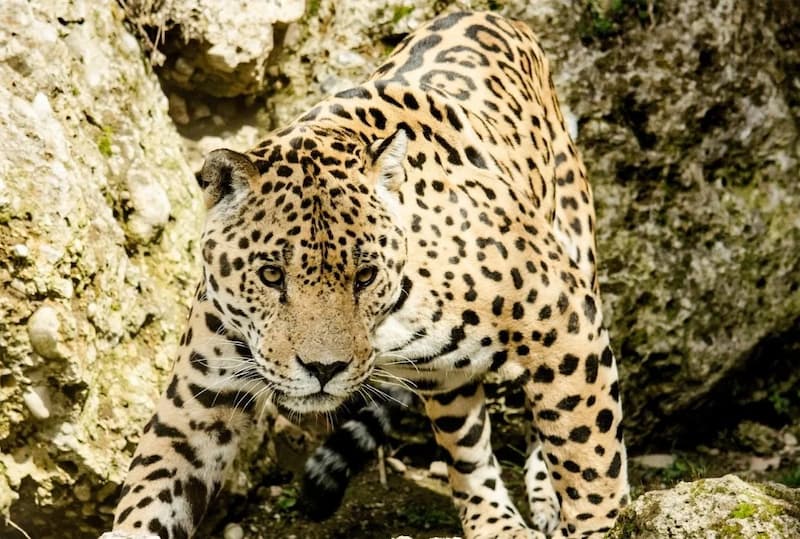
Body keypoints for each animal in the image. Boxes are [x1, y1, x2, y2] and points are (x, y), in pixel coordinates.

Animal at [104, 10, 629, 539]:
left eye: (365, 275)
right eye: (271, 275)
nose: (323, 370)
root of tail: (495, 14)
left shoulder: (566, 323)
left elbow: (590, 460)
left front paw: (602, 524)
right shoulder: (198, 402)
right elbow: (152, 490)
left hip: (576, 247)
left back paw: (544, 498)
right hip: (444, 377)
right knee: (467, 444)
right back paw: (494, 523)